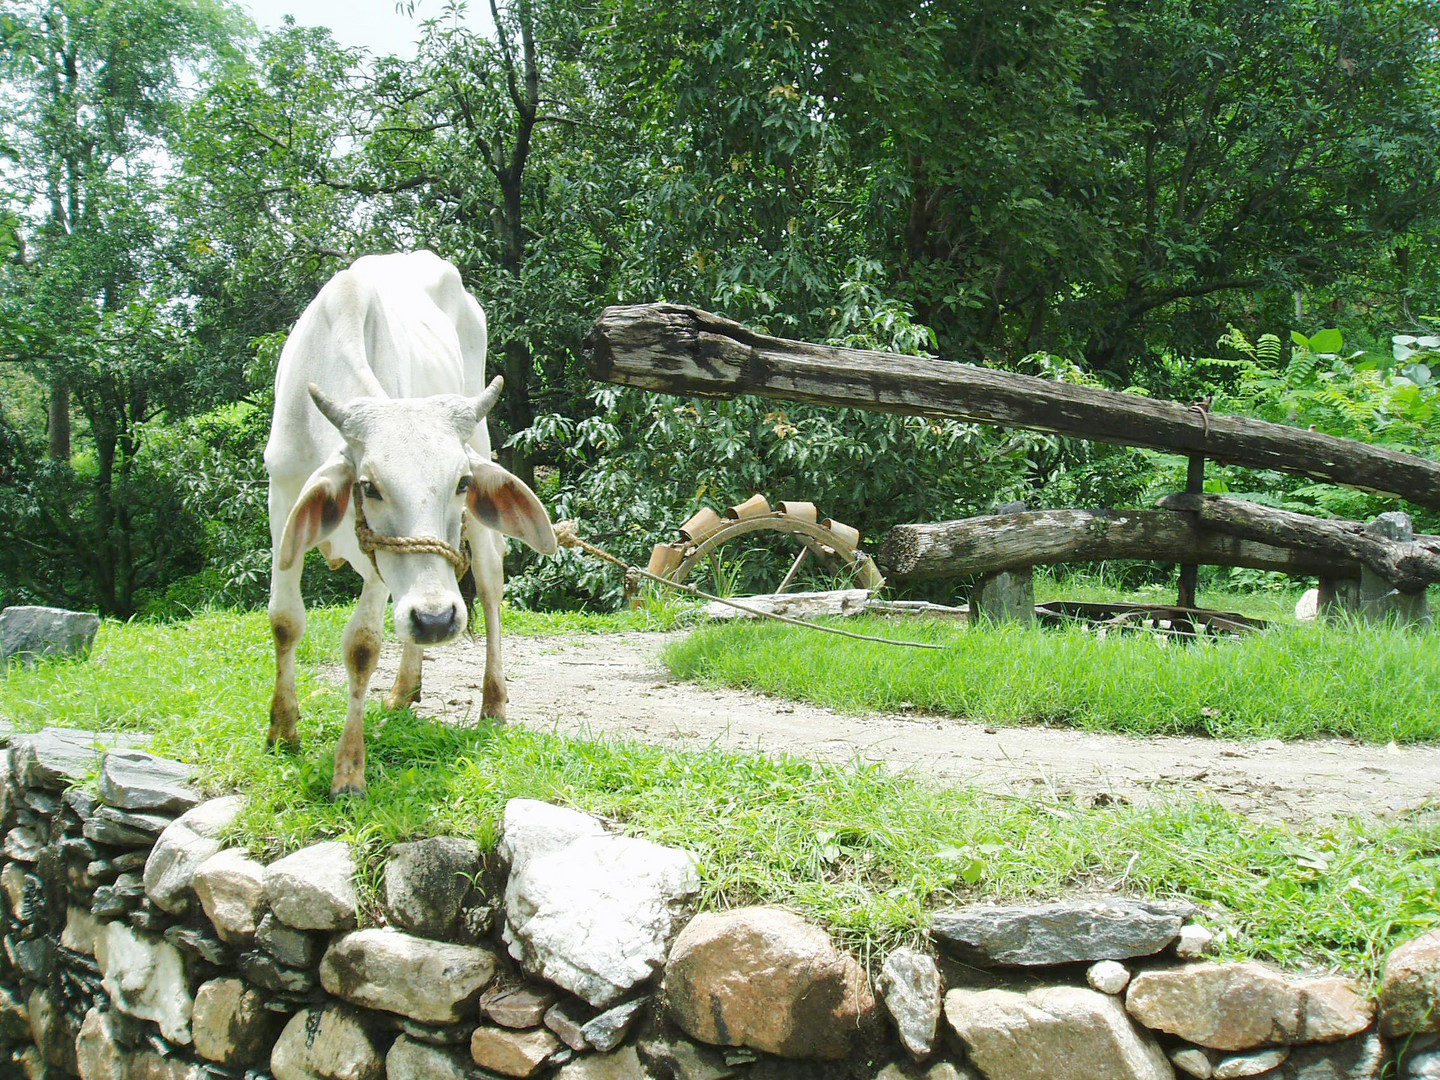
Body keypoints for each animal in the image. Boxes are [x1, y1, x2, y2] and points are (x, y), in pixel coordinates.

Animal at [262, 252, 552, 794]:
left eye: (461, 483)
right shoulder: (280, 497)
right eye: (369, 486)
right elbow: (285, 621)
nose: (437, 620)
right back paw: (404, 688)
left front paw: (349, 768)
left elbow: (361, 646)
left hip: (480, 451)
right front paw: (282, 731)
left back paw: (492, 703)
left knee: (490, 586)